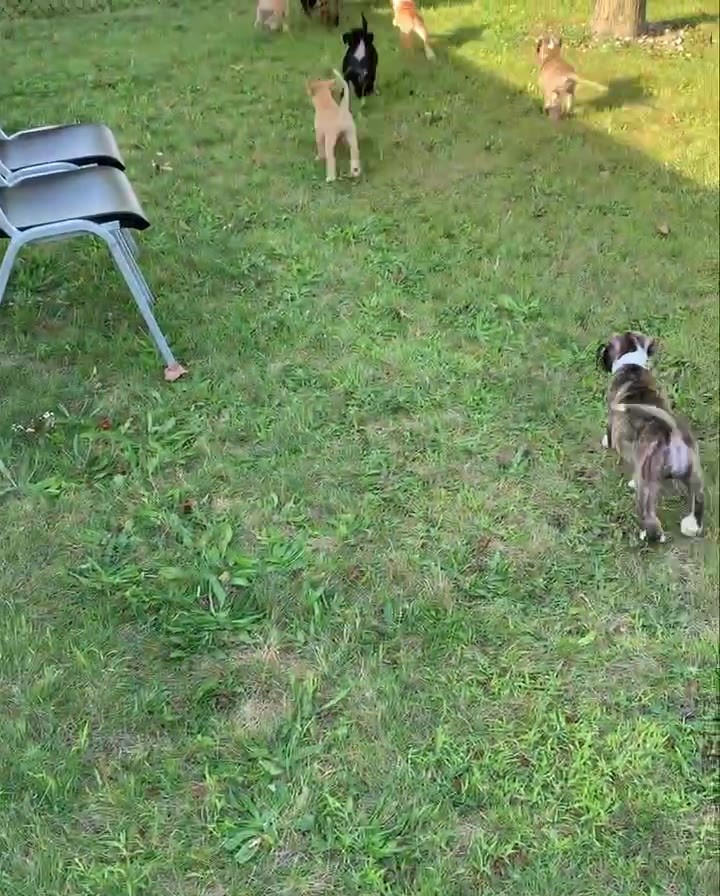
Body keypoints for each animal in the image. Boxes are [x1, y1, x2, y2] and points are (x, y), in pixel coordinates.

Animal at [596, 328, 704, 540]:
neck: (632, 364)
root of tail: (673, 433)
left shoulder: (612, 420)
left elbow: (609, 436)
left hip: (648, 482)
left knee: (649, 515)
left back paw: (649, 534)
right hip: (693, 473)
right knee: (699, 500)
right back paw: (691, 526)